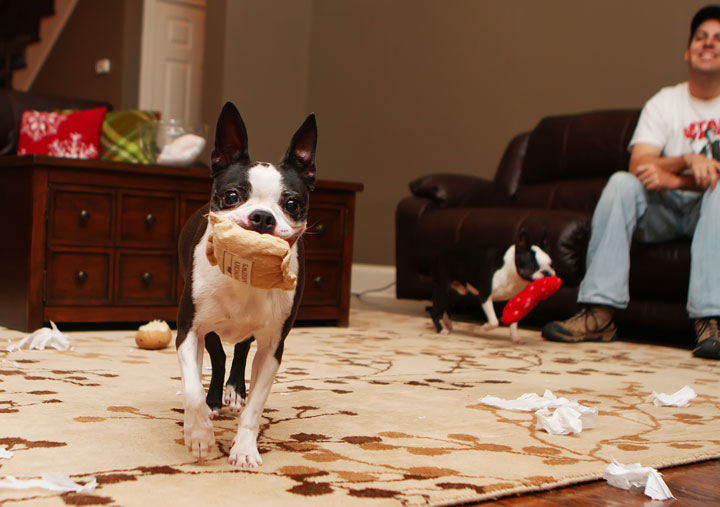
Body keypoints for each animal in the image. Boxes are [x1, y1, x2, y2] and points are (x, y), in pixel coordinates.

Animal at [428, 231, 556, 346]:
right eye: (532, 266)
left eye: (551, 264)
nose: (547, 272)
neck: (511, 271)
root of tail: (442, 252)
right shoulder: (485, 296)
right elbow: (494, 321)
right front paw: (484, 327)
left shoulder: (515, 303)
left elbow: (514, 322)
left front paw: (516, 338)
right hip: (443, 290)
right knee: (434, 311)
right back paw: (441, 329)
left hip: (459, 292)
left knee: (447, 306)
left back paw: (447, 323)